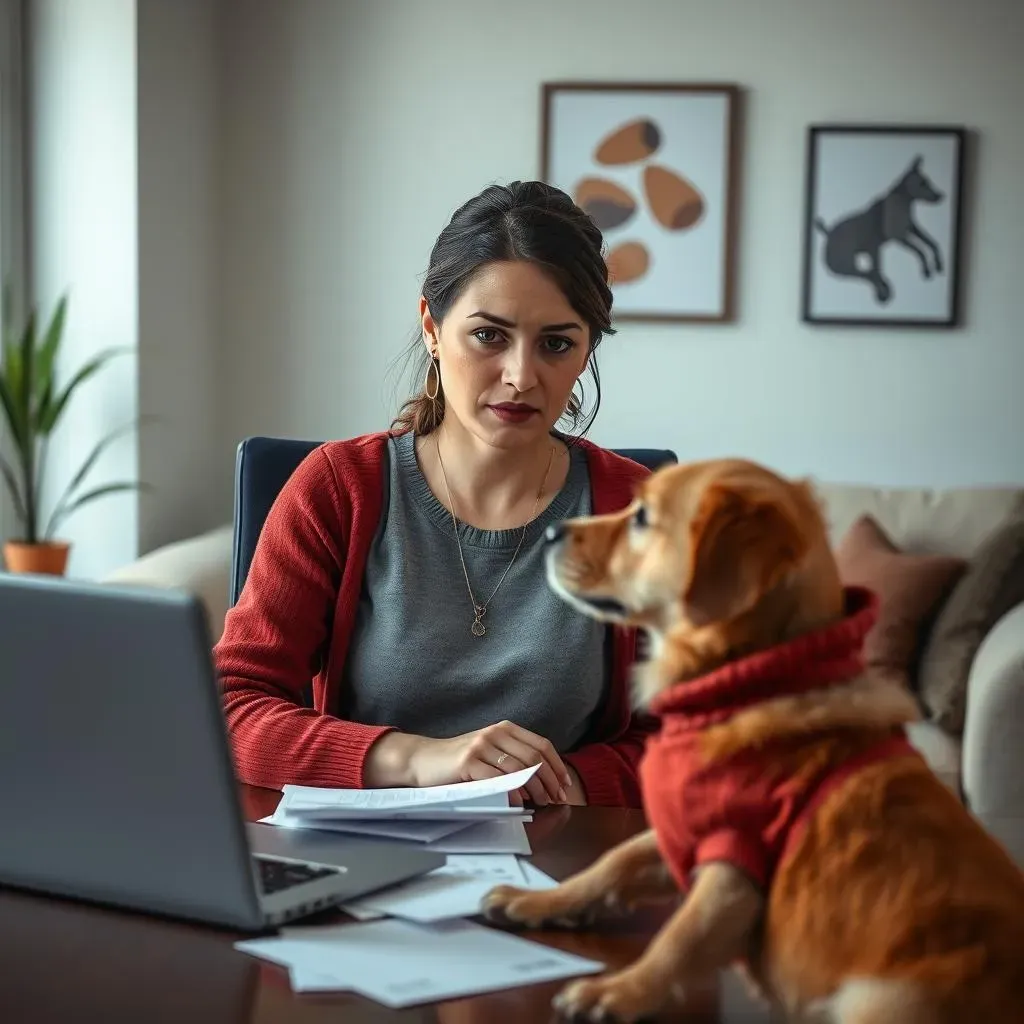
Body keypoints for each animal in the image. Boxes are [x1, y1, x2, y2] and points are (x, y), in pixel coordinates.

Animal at [479, 458, 1024, 1024]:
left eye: (643, 517)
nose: (549, 533)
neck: (735, 690)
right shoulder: (683, 830)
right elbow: (613, 861)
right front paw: (541, 901)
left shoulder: (735, 863)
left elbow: (683, 934)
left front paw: (620, 990)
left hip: (880, 1001)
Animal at [811, 151, 946, 303]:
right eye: (923, 183)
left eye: (928, 181)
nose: (941, 196)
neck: (903, 200)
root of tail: (827, 233)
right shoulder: (900, 236)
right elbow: (920, 250)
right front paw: (926, 270)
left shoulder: (912, 228)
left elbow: (932, 243)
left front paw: (939, 264)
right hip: (846, 265)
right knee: (869, 275)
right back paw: (883, 291)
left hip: (863, 257)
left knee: (871, 273)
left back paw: (884, 287)